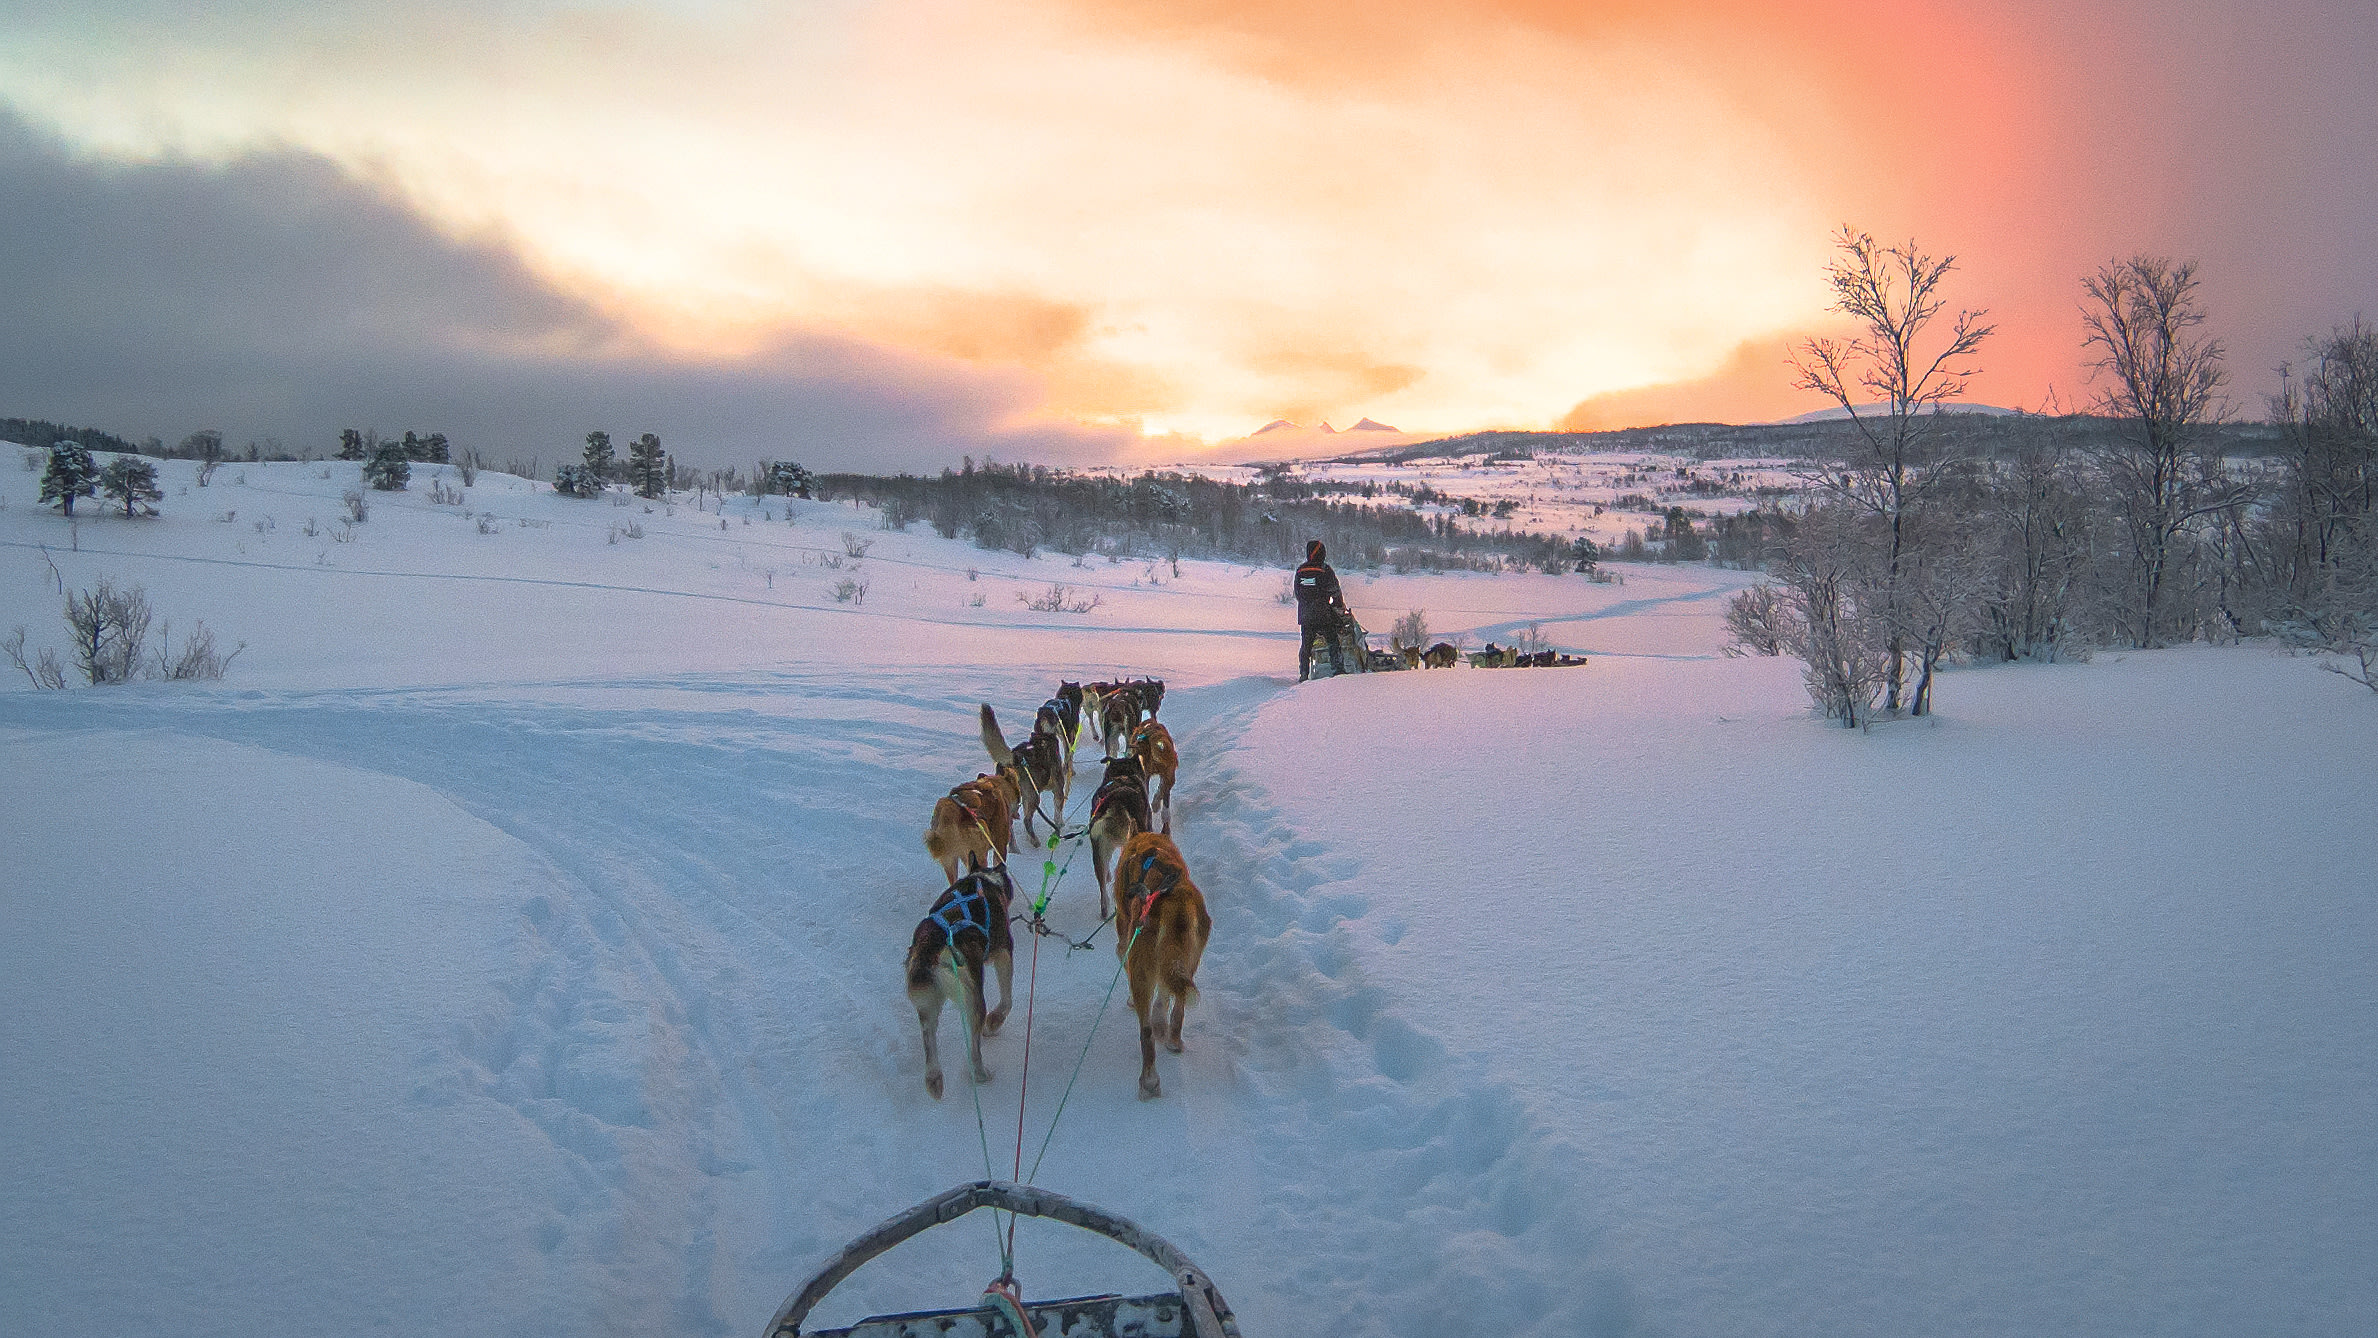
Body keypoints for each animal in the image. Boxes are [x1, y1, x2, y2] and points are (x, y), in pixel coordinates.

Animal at [898, 865, 1013, 1102]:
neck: (983, 880)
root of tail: (933, 950)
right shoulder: (1004, 952)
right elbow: (1007, 998)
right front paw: (994, 1022)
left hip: (927, 1003)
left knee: (929, 1040)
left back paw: (934, 1079)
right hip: (974, 1001)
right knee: (974, 1050)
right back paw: (981, 1074)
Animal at [1108, 831, 1208, 1102]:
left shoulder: (1125, 941)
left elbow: (1121, 953)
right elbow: (1165, 993)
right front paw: (1161, 1020)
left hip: (1141, 967)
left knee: (1145, 1033)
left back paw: (1149, 1082)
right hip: (1188, 960)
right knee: (1179, 1002)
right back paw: (1172, 1038)